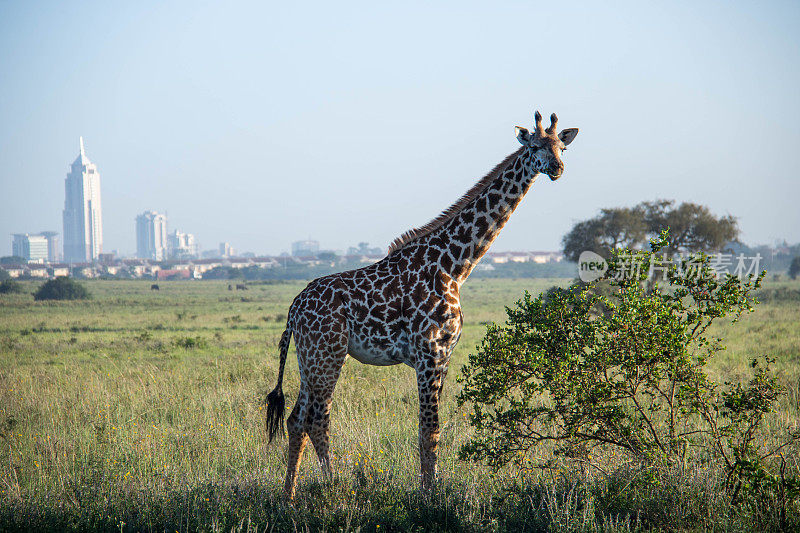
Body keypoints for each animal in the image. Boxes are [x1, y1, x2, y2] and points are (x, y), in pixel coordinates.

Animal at [266, 110, 580, 496]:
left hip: (308, 358)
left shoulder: (444, 356)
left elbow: (430, 431)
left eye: (562, 146)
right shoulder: (430, 352)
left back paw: (289, 496)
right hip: (328, 354)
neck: (455, 265)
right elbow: (429, 430)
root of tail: (293, 310)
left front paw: (432, 488)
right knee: (317, 419)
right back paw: (336, 488)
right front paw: (430, 496)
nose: (557, 168)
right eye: (535, 146)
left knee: (297, 419)